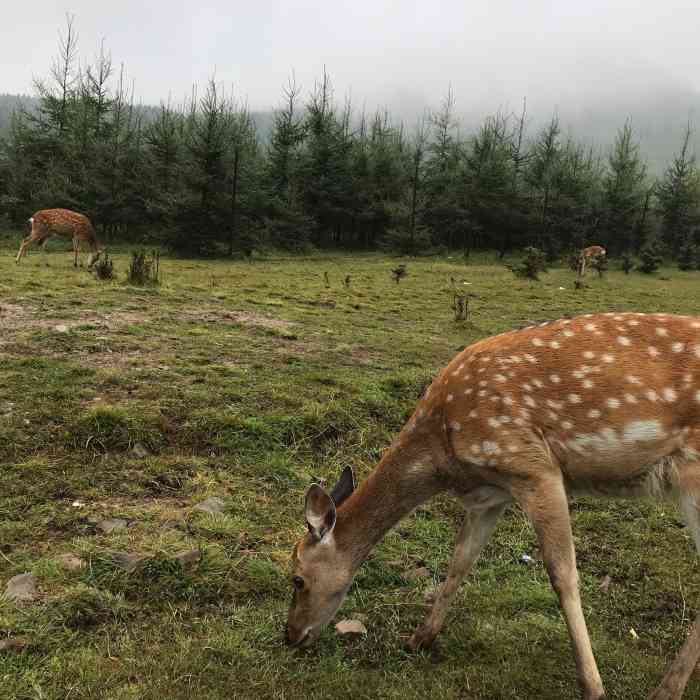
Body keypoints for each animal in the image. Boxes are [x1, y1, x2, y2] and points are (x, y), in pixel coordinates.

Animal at [284, 314, 700, 700]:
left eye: (297, 578)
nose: (291, 635)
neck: (445, 456)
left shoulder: (533, 465)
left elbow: (562, 574)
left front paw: (593, 687)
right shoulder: (493, 492)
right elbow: (460, 560)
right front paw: (419, 638)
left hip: (693, 477)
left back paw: (666, 688)